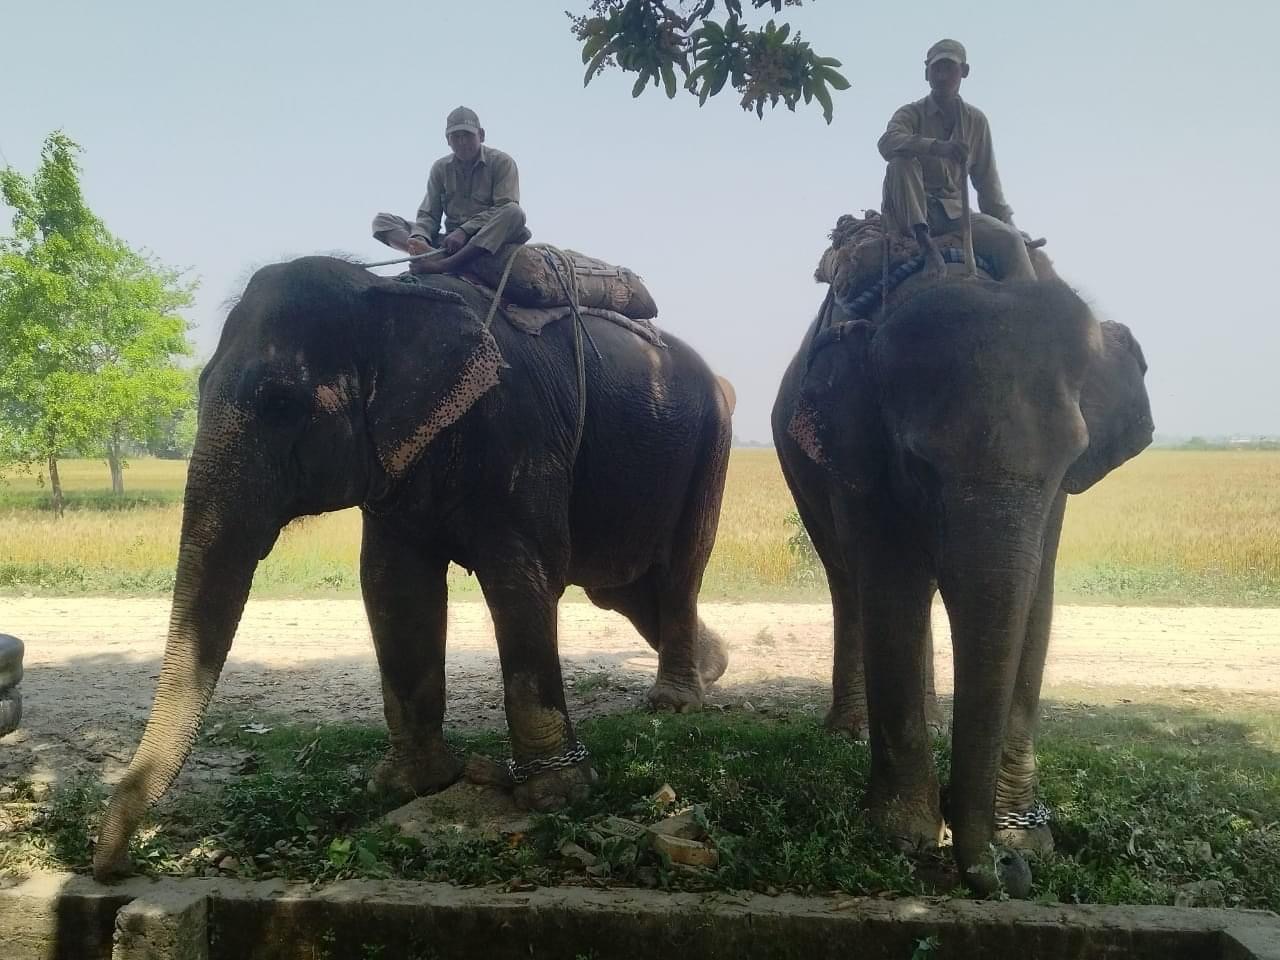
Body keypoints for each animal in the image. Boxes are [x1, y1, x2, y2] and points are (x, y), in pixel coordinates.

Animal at [90, 253, 732, 880]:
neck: (392, 293)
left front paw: (555, 795)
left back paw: (675, 703)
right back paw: (713, 667)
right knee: (621, 588)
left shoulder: (521, 436)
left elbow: (520, 580)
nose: (114, 868)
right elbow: (393, 586)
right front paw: (409, 785)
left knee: (676, 574)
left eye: (281, 404)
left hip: (711, 442)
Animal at [773, 261, 1157, 896]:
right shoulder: (862, 457)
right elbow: (891, 589)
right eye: (917, 464)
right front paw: (902, 837)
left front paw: (1024, 840)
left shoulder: (1058, 496)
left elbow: (1037, 599)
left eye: (1068, 458)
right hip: (799, 467)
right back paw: (849, 731)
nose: (1007, 874)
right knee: (846, 583)